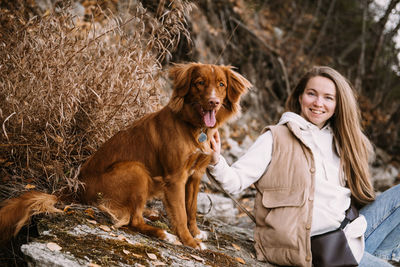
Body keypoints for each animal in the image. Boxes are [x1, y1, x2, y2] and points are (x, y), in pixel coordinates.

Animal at [0, 62, 250, 249]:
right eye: (200, 83)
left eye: (221, 84)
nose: (213, 102)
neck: (194, 127)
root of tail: (74, 190)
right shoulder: (176, 178)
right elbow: (179, 212)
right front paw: (188, 240)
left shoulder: (195, 175)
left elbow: (191, 209)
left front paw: (196, 232)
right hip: (135, 169)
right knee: (133, 221)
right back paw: (163, 234)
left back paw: (152, 213)